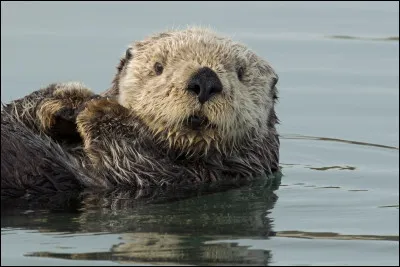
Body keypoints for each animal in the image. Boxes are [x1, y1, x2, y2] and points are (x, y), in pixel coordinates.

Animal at [0, 27, 282, 201]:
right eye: (158, 67)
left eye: (241, 73)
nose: (205, 80)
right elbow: (18, 109)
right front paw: (70, 99)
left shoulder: (191, 177)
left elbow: (132, 162)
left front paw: (102, 111)